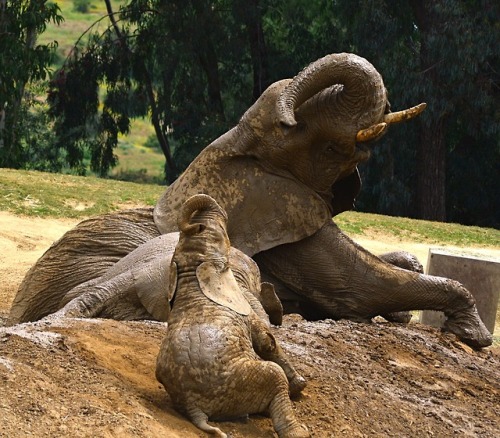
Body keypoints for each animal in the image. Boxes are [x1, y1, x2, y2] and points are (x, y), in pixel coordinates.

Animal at [7, 54, 492, 350]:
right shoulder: (286, 235)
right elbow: (361, 287)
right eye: (292, 129)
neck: (230, 149)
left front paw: (405, 308)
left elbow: (395, 267)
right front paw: (473, 334)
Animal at [156, 195, 308, 438]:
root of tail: (193, 407)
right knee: (274, 377)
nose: (196, 223)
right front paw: (300, 387)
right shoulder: (243, 310)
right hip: (236, 382)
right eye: (221, 234)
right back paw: (299, 431)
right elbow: (267, 341)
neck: (192, 274)